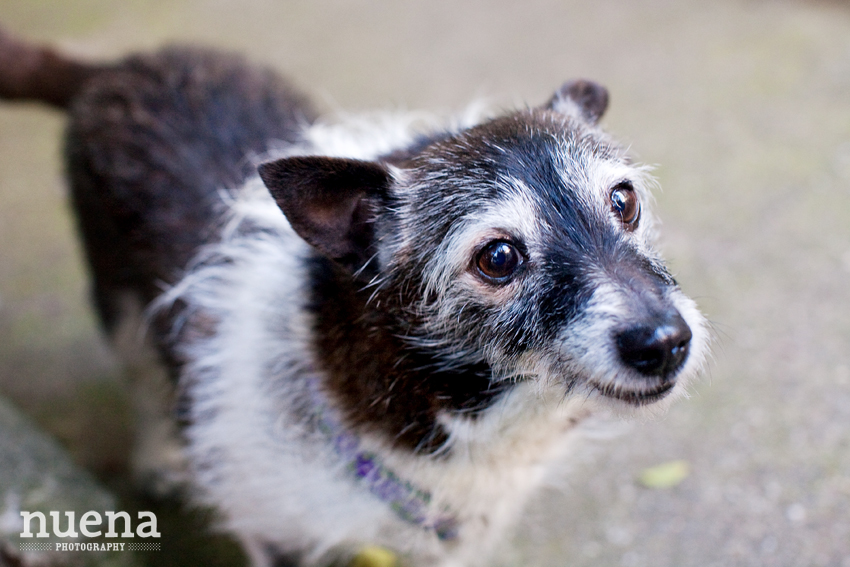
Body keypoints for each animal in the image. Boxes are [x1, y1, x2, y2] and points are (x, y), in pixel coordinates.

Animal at [1, 30, 708, 567]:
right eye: (499, 258)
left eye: (624, 200)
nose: (666, 343)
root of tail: (111, 68)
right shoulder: (278, 535)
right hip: (117, 300)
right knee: (141, 376)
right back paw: (158, 456)